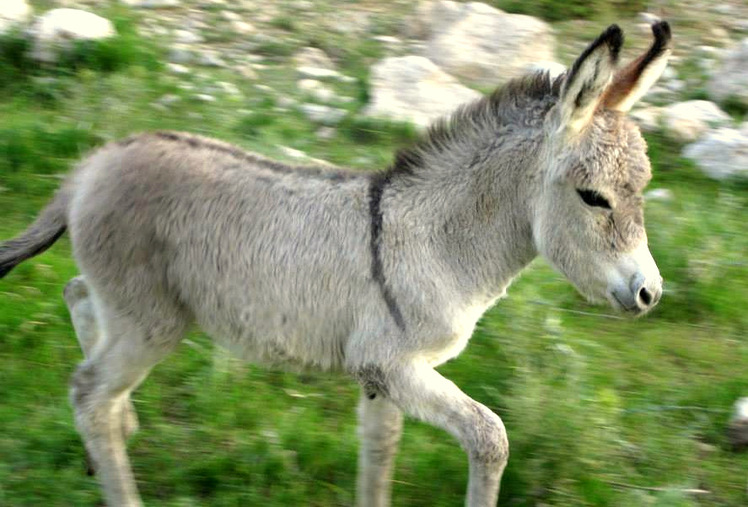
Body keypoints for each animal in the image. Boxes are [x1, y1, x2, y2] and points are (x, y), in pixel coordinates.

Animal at [0, 22, 672, 507]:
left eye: (642, 188)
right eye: (594, 198)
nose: (650, 294)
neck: (437, 240)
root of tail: (93, 164)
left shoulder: (382, 376)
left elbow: (379, 453)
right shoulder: (393, 366)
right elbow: (490, 438)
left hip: (134, 309)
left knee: (77, 301)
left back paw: (119, 429)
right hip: (150, 324)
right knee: (88, 391)